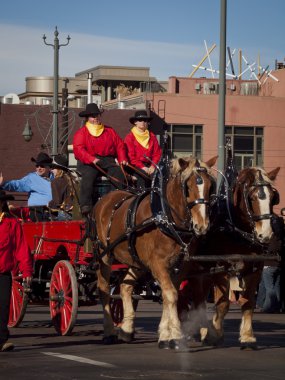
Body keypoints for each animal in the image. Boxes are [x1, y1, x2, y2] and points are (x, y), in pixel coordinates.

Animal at [92, 155, 216, 350]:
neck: (166, 218)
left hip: (137, 260)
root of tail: (104, 200)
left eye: (211, 187)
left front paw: (165, 335)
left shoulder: (179, 267)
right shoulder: (158, 264)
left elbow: (169, 294)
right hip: (105, 255)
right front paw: (176, 336)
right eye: (187, 187)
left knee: (125, 286)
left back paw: (126, 329)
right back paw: (109, 332)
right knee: (104, 290)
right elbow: (171, 295)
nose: (202, 226)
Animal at [185, 165, 280, 348]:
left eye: (273, 197)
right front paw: (214, 335)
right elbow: (222, 304)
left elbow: (248, 302)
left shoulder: (254, 268)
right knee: (196, 300)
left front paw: (248, 336)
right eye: (251, 198)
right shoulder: (222, 269)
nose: (265, 235)